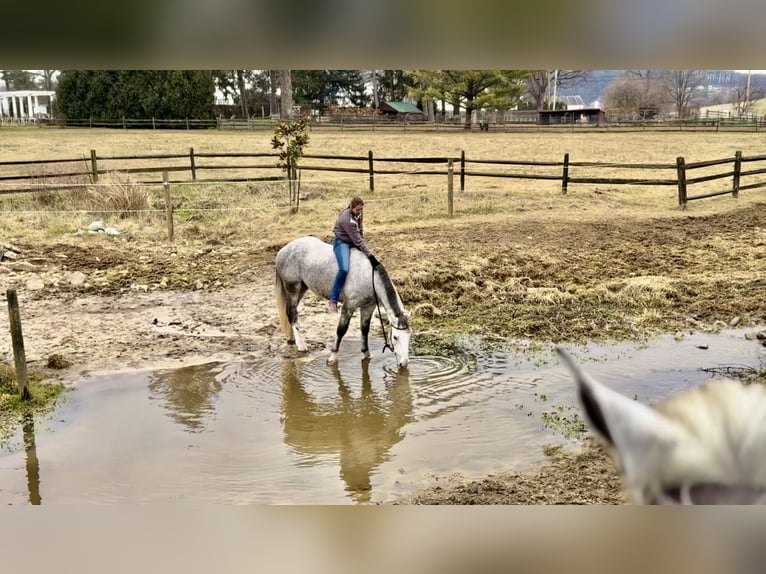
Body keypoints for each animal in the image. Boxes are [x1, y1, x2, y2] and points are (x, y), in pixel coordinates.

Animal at [275, 236, 411, 368]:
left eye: (409, 336)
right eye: (395, 337)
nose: (404, 363)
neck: (368, 277)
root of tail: (284, 250)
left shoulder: (368, 307)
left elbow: (364, 329)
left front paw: (366, 354)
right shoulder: (349, 305)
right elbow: (341, 330)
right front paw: (332, 357)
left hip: (302, 288)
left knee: (289, 313)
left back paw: (292, 339)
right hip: (293, 288)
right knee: (292, 313)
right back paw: (301, 345)